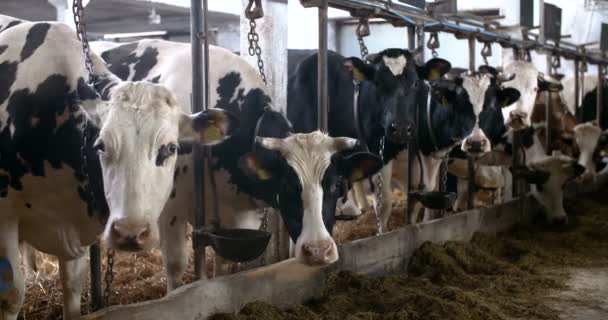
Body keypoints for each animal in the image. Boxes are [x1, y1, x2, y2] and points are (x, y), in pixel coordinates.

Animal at [0, 20, 238, 320]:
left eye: (170, 148)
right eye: (101, 145)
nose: (129, 232)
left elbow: (72, 286)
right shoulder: (5, 217)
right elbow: (11, 295)